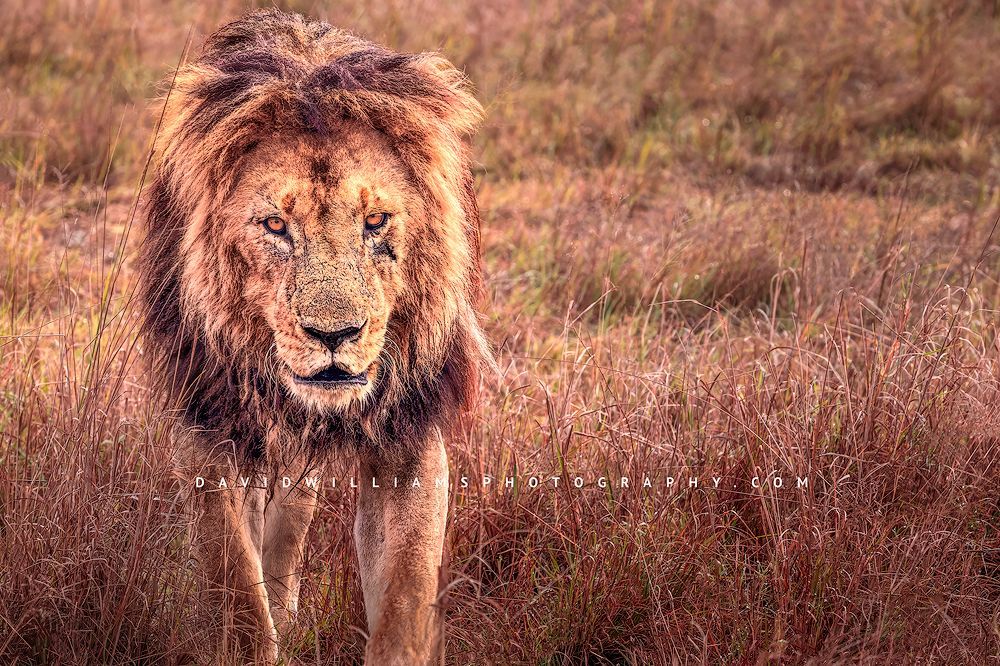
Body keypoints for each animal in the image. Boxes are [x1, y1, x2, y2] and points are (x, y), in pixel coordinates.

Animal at [137, 10, 489, 664]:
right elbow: (234, 590)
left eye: (375, 221)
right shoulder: (206, 428)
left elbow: (405, 598)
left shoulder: (407, 435)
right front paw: (255, 632)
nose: (335, 335)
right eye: (276, 225)